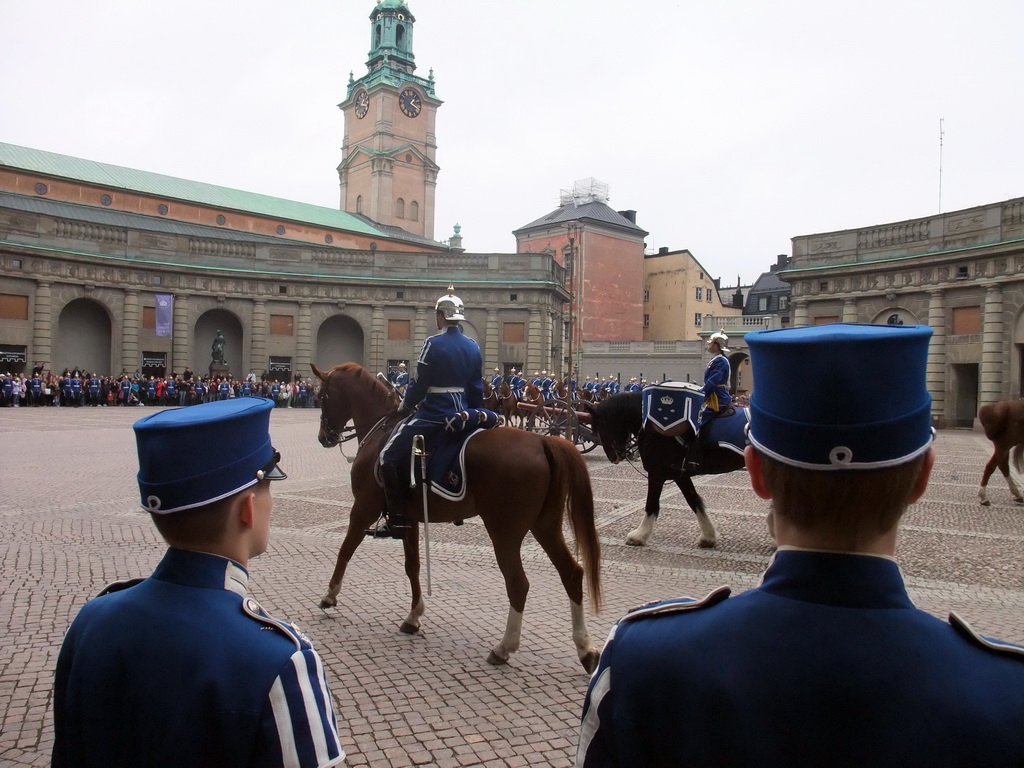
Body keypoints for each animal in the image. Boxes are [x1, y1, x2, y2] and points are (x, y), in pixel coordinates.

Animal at [309, 364, 598, 671]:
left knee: (518, 584)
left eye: (323, 396)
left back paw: (504, 647)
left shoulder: (364, 508)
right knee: (571, 573)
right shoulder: (409, 518)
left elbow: (345, 550)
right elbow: (412, 566)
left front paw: (329, 596)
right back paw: (585, 649)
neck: (382, 430)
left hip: (504, 533)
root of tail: (543, 440)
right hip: (545, 527)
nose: (324, 437)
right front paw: (413, 616)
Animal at [585, 393, 745, 548]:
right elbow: (693, 500)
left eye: (600, 426)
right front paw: (708, 536)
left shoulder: (656, 473)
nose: (613, 457)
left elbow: (651, 503)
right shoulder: (680, 475)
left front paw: (639, 535)